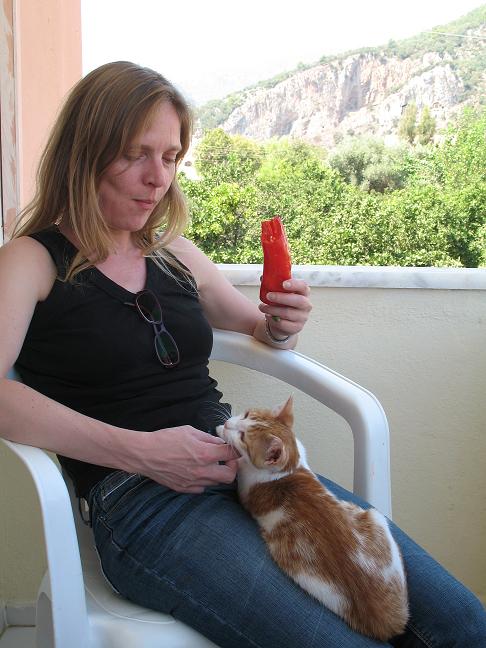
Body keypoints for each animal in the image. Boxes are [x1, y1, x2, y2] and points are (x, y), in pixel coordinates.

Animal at [216, 396, 409, 641]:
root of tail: (388, 624)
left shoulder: (245, 487)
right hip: (377, 518)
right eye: (247, 414)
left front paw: (220, 431)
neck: (289, 468)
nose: (229, 423)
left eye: (243, 437)